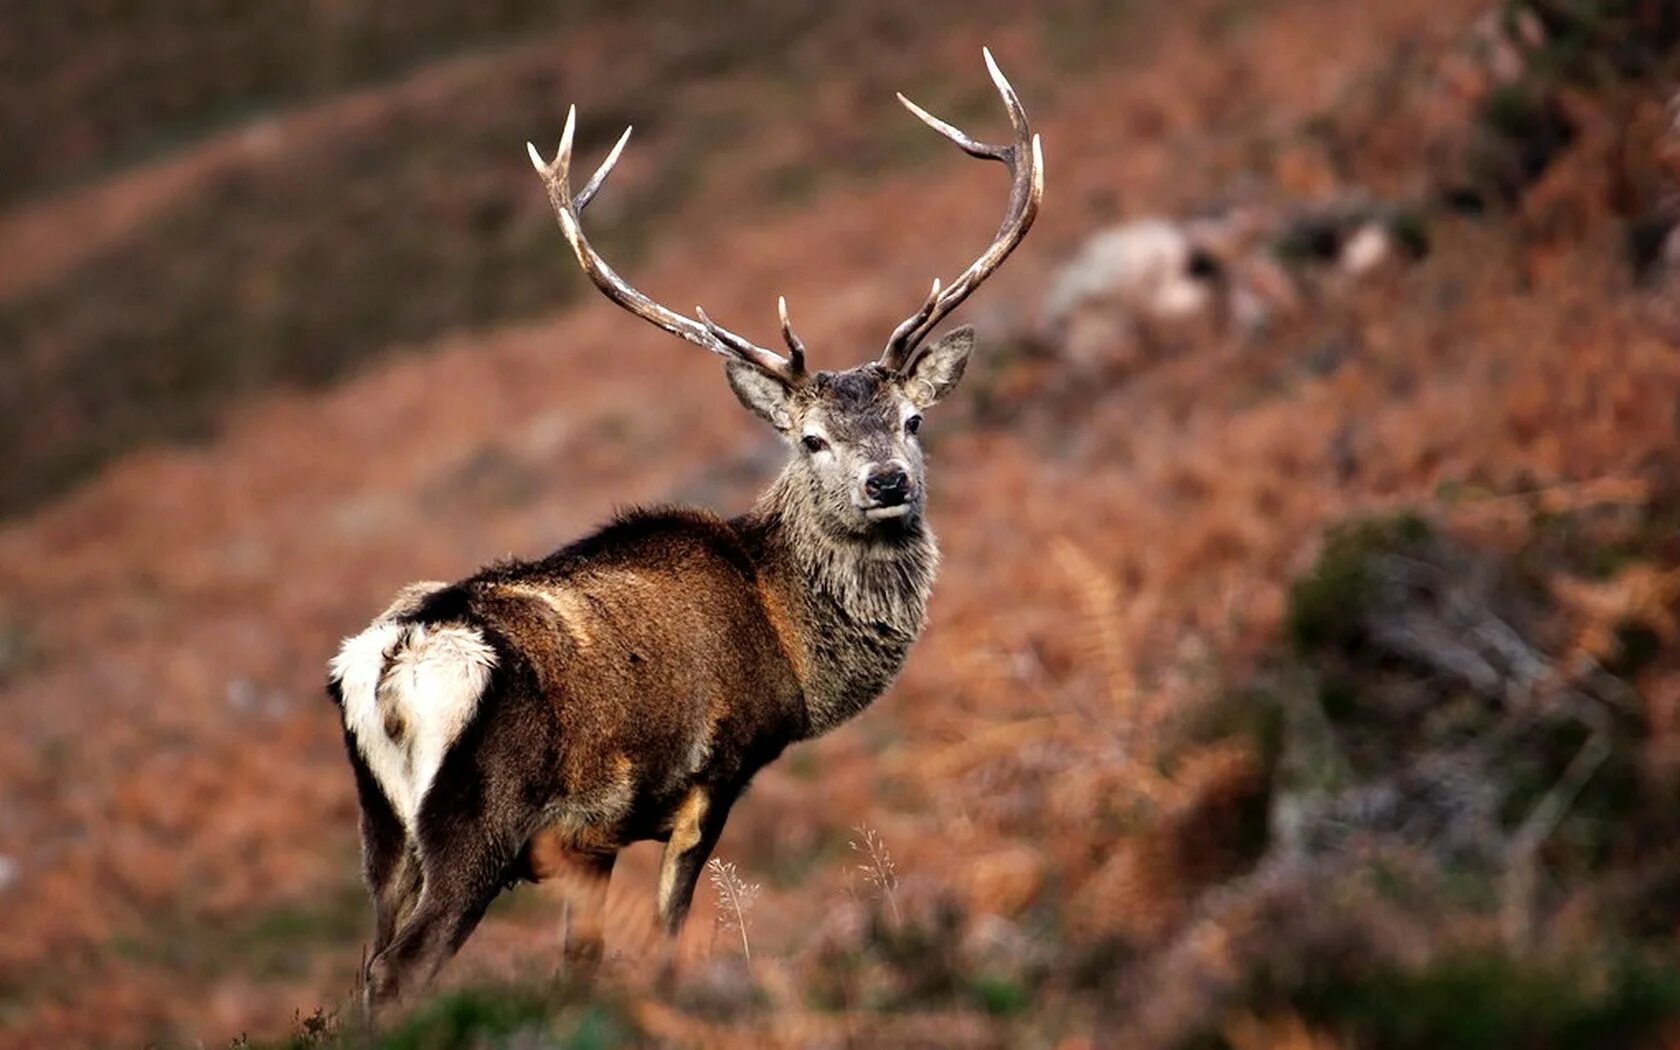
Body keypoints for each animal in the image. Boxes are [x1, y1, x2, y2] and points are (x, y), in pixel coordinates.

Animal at [324, 47, 1034, 1007]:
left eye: (913, 421)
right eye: (811, 438)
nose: (886, 482)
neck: (790, 644)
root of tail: (389, 663)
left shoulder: (588, 838)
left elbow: (580, 965)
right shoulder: (712, 775)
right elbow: (667, 936)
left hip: (381, 832)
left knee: (364, 968)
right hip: (476, 819)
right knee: (401, 973)